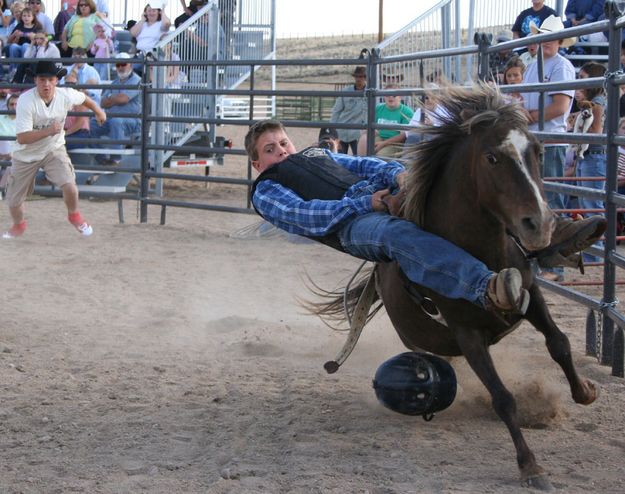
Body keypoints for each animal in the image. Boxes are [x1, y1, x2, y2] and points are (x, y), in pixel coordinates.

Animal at [316, 86, 596, 490]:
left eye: (538, 151)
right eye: (492, 157)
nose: (539, 225)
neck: (483, 261)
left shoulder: (532, 298)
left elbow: (559, 343)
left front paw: (585, 391)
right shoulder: (467, 334)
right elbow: (502, 397)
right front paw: (530, 466)